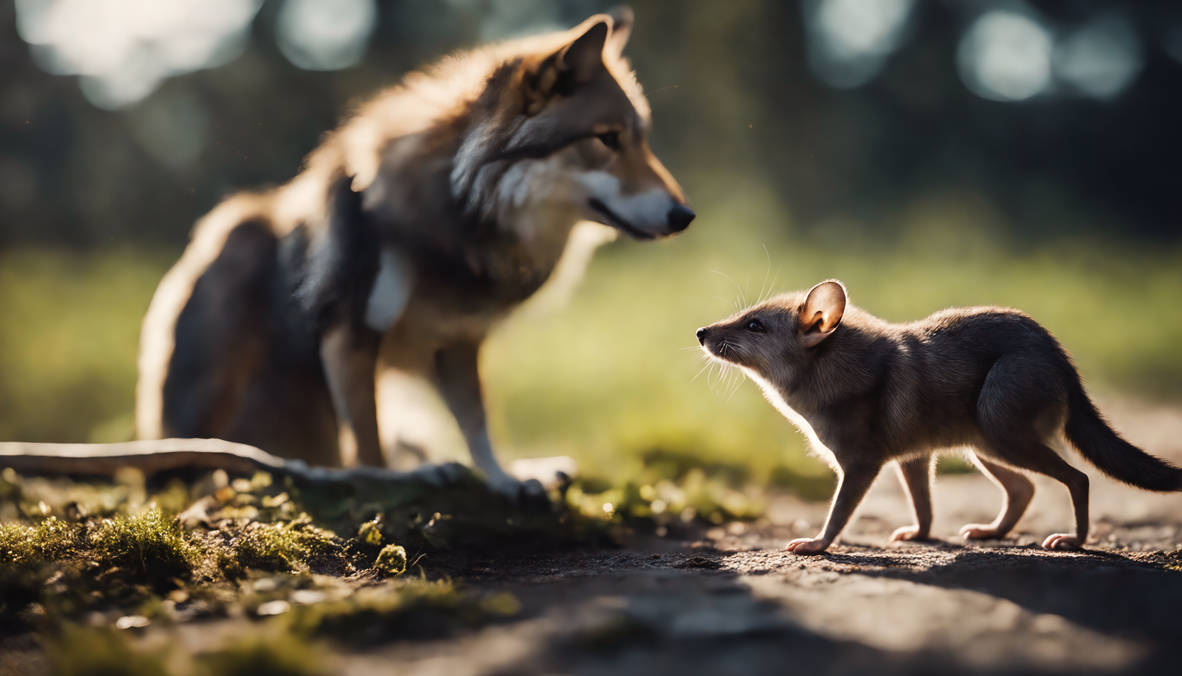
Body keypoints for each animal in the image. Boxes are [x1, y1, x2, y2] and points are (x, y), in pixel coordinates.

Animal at [136, 9, 693, 499]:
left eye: (642, 141)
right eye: (608, 139)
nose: (684, 216)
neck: (457, 213)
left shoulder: (459, 337)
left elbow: (476, 421)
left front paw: (504, 479)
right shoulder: (349, 330)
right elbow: (367, 441)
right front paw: (395, 480)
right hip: (229, 294)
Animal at [697, 280, 1182, 554]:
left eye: (755, 325)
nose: (701, 331)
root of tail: (1062, 359)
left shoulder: (862, 464)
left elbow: (838, 515)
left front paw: (816, 545)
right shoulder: (914, 457)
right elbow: (925, 509)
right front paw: (919, 537)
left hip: (998, 428)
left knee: (1077, 479)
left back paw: (1075, 541)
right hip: (983, 445)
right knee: (1023, 489)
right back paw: (992, 532)